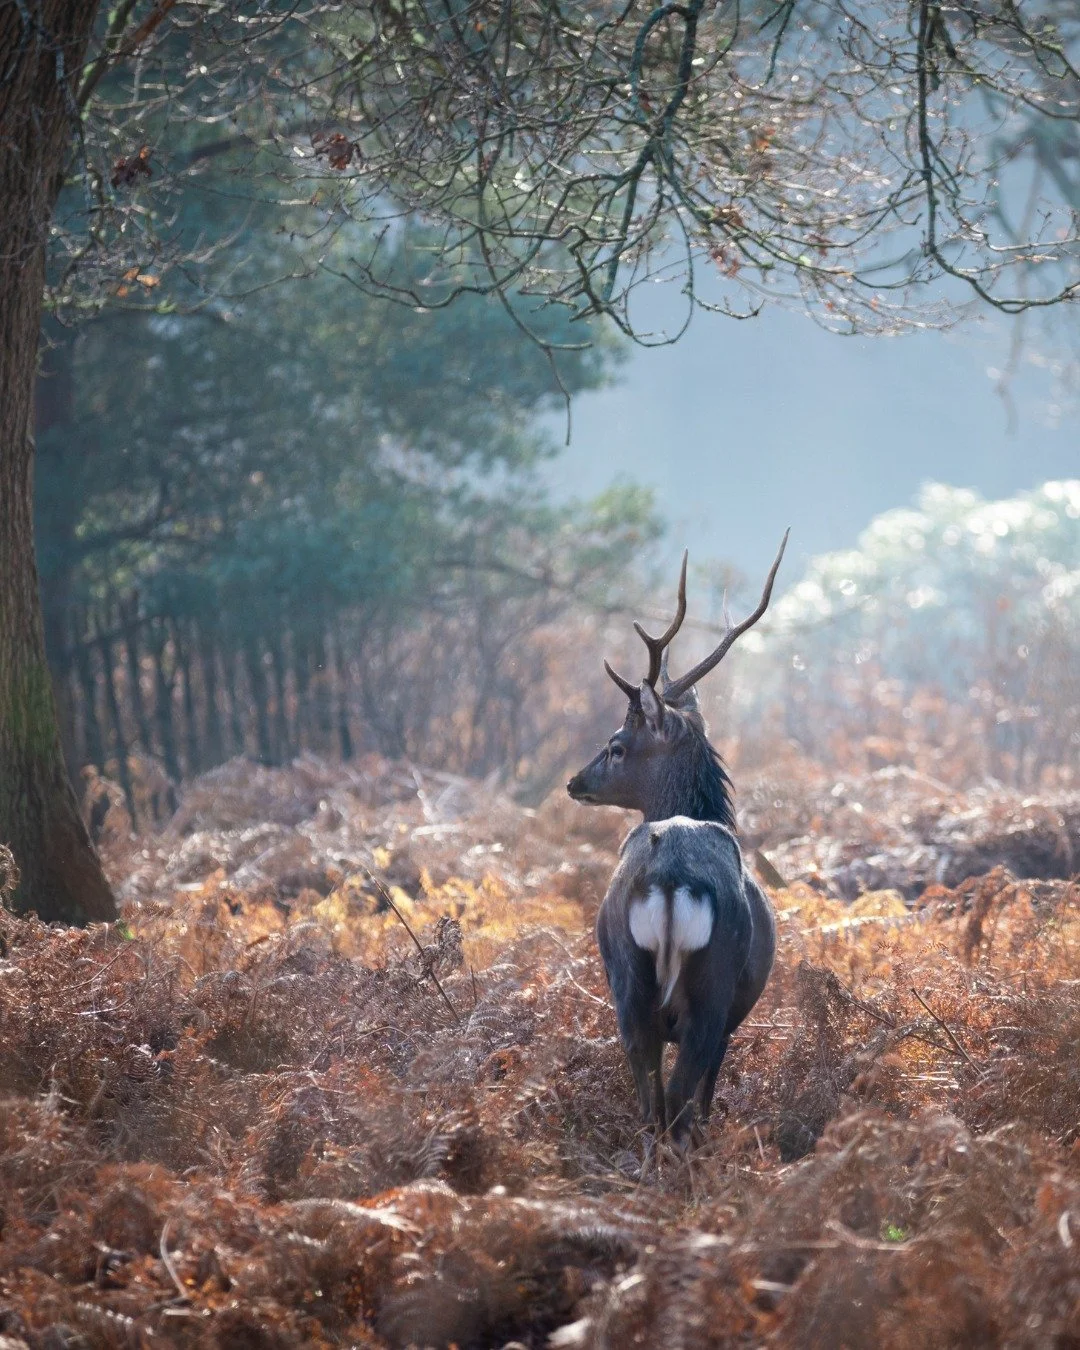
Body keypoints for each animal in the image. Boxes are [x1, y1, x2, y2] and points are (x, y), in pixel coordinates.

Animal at [566, 533, 789, 1149]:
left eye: (616, 746)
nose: (574, 781)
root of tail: (669, 882)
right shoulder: (730, 1011)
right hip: (706, 987)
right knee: (679, 1107)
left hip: (632, 980)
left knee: (654, 1101)